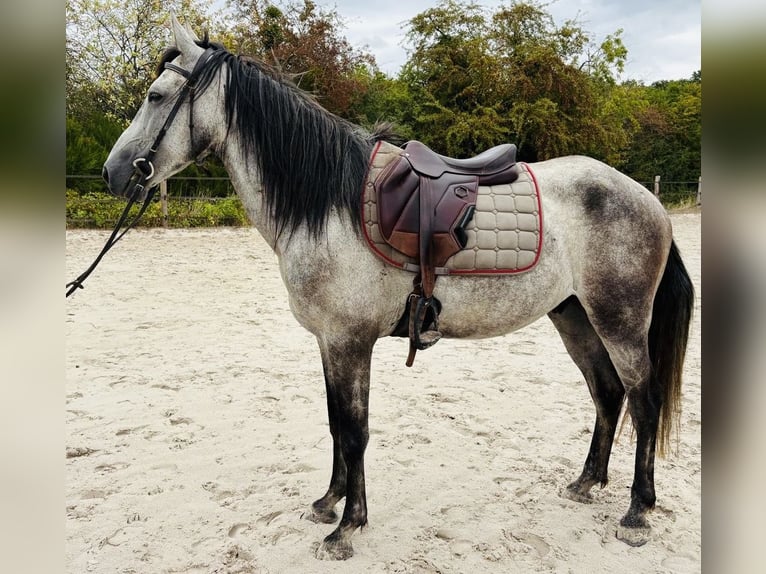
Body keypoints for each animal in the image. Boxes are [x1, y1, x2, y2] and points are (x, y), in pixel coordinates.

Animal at [100, 16, 694, 560]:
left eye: (156, 95)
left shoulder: (349, 341)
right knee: (607, 393)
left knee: (643, 401)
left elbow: (355, 431)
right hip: (573, 314)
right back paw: (586, 482)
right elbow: (336, 424)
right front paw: (329, 503)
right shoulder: (330, 342)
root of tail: (646, 197)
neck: (327, 202)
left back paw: (637, 511)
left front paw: (347, 527)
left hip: (619, 320)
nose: (113, 173)